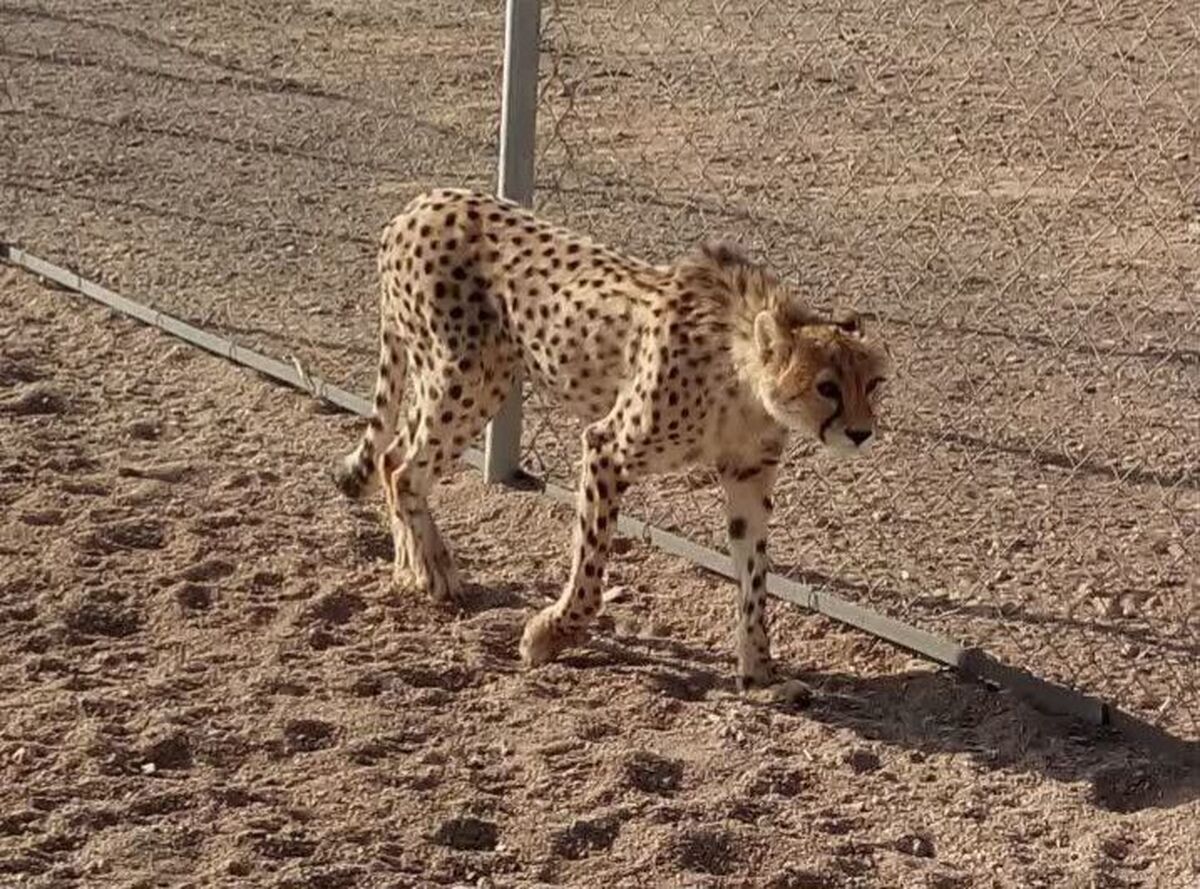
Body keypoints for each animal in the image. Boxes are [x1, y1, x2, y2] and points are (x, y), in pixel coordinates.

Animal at [338, 187, 892, 686]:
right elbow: (591, 566)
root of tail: (420, 203)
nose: (861, 433)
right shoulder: (607, 447)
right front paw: (549, 634)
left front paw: (759, 672)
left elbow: (755, 577)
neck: (744, 380)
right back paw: (435, 570)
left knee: (391, 457)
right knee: (405, 470)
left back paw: (409, 566)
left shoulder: (748, 476)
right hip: (470, 378)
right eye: (826, 387)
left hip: (450, 377)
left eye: (872, 384)